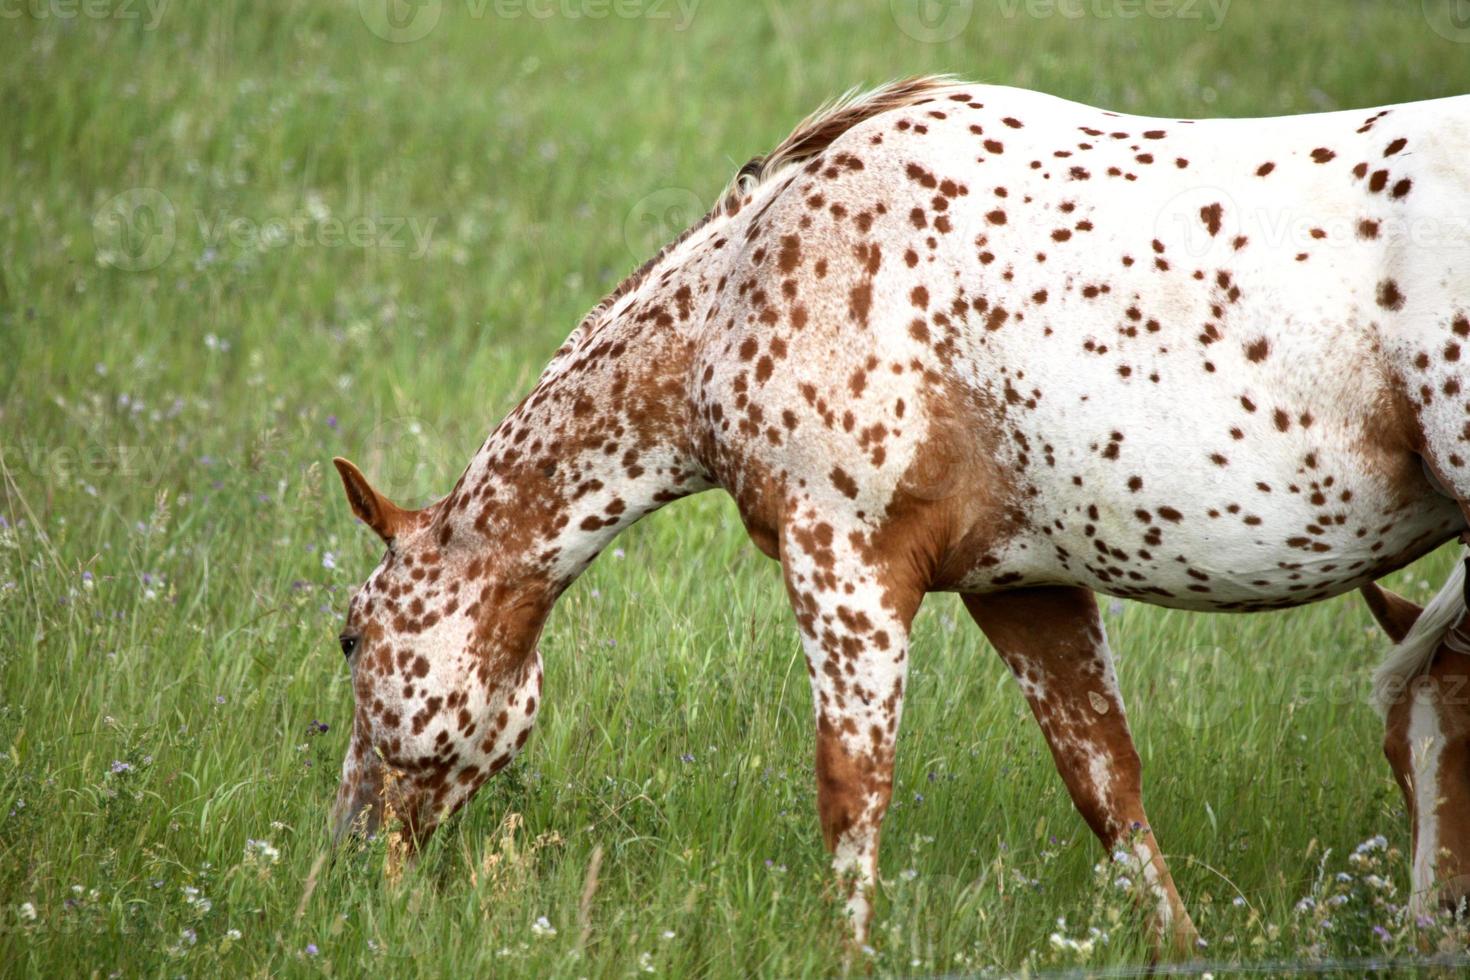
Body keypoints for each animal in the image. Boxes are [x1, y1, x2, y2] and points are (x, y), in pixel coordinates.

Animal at [330, 78, 1470, 957]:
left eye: (349, 637)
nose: (349, 851)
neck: (749, 287)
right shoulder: (1026, 587)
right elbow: (1108, 786)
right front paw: (1181, 948)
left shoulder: (848, 566)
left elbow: (851, 791)